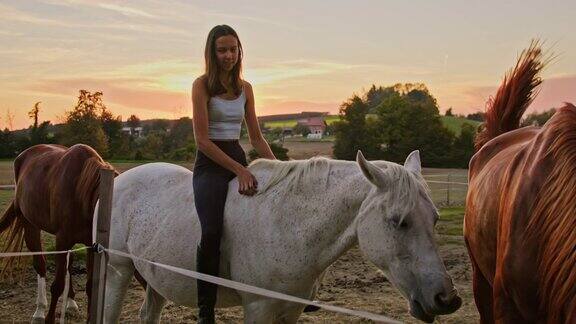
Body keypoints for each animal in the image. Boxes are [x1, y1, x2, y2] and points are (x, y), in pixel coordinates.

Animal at [0, 145, 116, 324]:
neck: (81, 191)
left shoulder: (91, 244)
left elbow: (90, 284)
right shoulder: (62, 240)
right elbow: (58, 285)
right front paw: (49, 318)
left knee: (68, 265)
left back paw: (71, 303)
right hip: (31, 225)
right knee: (40, 265)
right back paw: (40, 311)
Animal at [103, 151, 462, 322]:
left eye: (434, 219)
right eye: (398, 221)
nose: (447, 299)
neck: (286, 223)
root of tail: (119, 180)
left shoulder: (289, 311)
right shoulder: (259, 308)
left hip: (155, 279)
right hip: (118, 270)